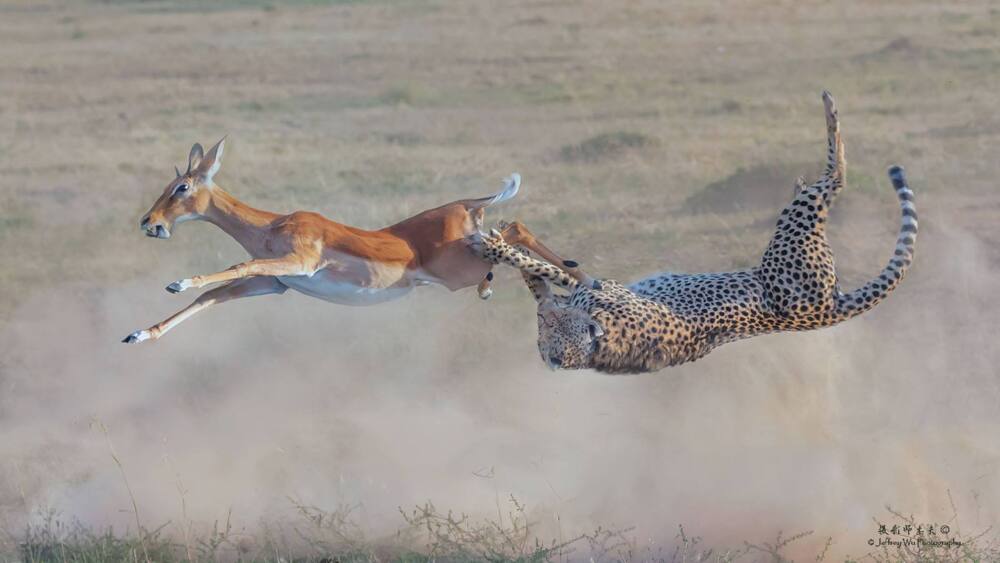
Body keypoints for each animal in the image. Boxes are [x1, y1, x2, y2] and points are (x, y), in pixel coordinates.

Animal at [472, 91, 916, 374]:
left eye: (549, 330)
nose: (543, 324)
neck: (600, 340)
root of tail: (833, 309)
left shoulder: (600, 287)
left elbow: (549, 268)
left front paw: (499, 242)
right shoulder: (596, 289)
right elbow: (549, 271)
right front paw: (502, 245)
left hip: (792, 239)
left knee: (836, 176)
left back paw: (828, 116)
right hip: (795, 237)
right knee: (831, 182)